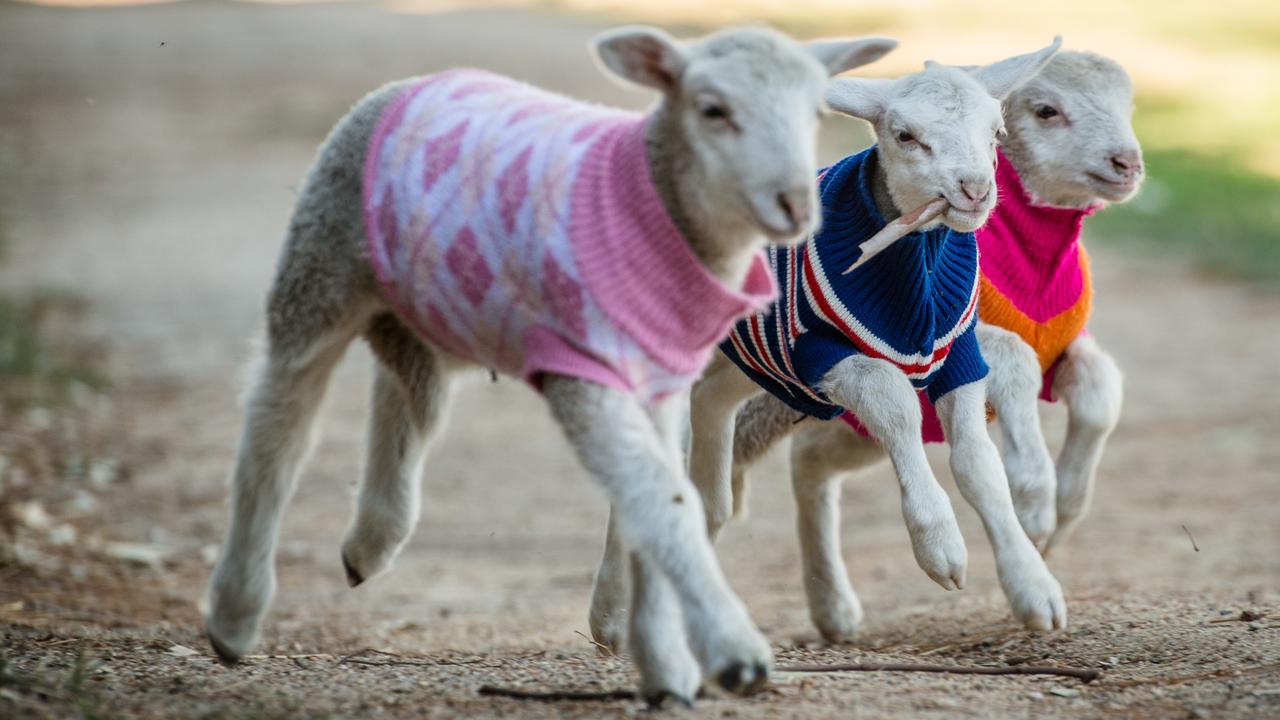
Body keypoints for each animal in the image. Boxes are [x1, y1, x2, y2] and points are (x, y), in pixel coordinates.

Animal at [202, 25, 901, 702]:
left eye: (815, 112)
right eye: (713, 110)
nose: (796, 205)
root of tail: (422, 79)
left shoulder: (659, 381)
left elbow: (657, 495)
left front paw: (656, 655)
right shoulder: (586, 370)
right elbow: (661, 494)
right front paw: (730, 652)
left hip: (436, 309)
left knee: (406, 396)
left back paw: (369, 543)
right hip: (319, 270)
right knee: (278, 428)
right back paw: (235, 614)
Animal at [591, 40, 1070, 655]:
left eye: (996, 131)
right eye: (905, 136)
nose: (975, 190)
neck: (913, 276)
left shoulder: (957, 353)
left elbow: (978, 466)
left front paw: (1034, 589)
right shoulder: (816, 349)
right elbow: (892, 400)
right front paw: (940, 545)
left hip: (743, 360)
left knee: (711, 422)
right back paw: (611, 618)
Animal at [732, 47, 1141, 635]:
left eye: (1130, 106)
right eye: (1046, 111)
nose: (1128, 163)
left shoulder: (1062, 344)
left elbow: (1100, 389)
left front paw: (1061, 511)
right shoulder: (980, 339)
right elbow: (1016, 359)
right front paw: (1035, 501)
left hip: (850, 428)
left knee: (809, 460)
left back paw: (832, 607)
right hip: (776, 397)